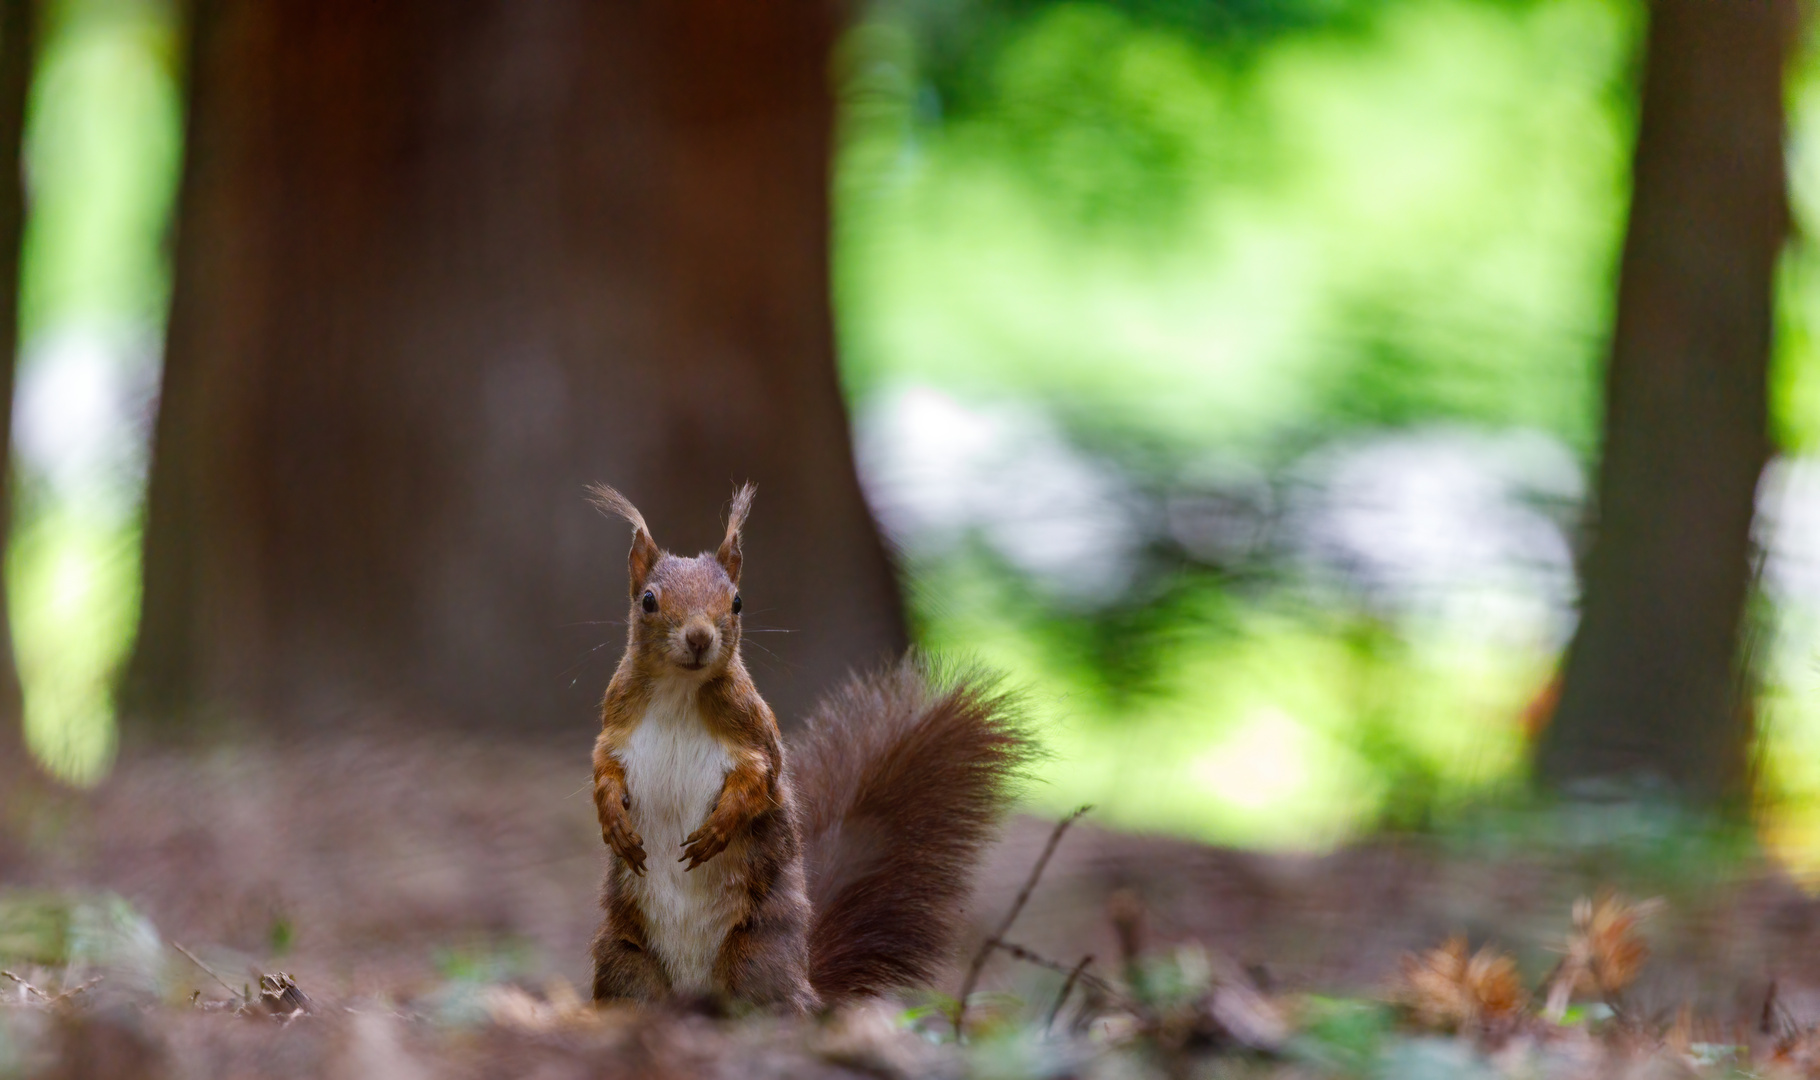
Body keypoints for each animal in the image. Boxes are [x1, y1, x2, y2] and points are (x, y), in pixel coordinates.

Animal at [586, 484, 1033, 1005]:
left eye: (737, 602)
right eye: (649, 600)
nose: (699, 637)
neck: (680, 689)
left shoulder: (755, 735)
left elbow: (758, 781)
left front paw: (719, 829)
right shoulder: (616, 725)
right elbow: (603, 769)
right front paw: (614, 822)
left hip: (758, 952)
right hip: (624, 960)